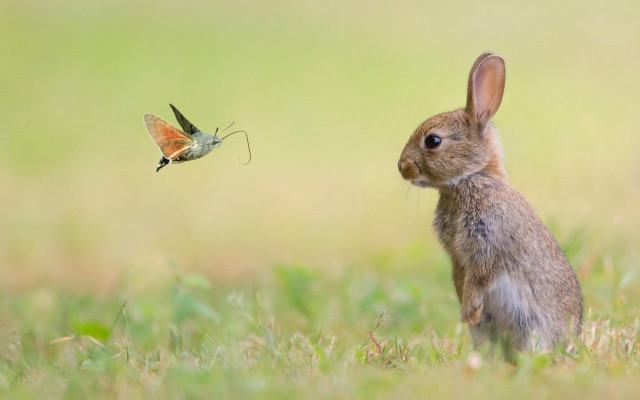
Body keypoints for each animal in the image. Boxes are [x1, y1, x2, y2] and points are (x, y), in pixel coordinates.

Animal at [397, 52, 583, 352]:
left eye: (433, 141)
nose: (402, 167)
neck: (470, 180)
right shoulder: (457, 257)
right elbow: (460, 276)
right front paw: (465, 309)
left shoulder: (489, 246)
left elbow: (481, 277)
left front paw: (467, 311)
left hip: (533, 328)